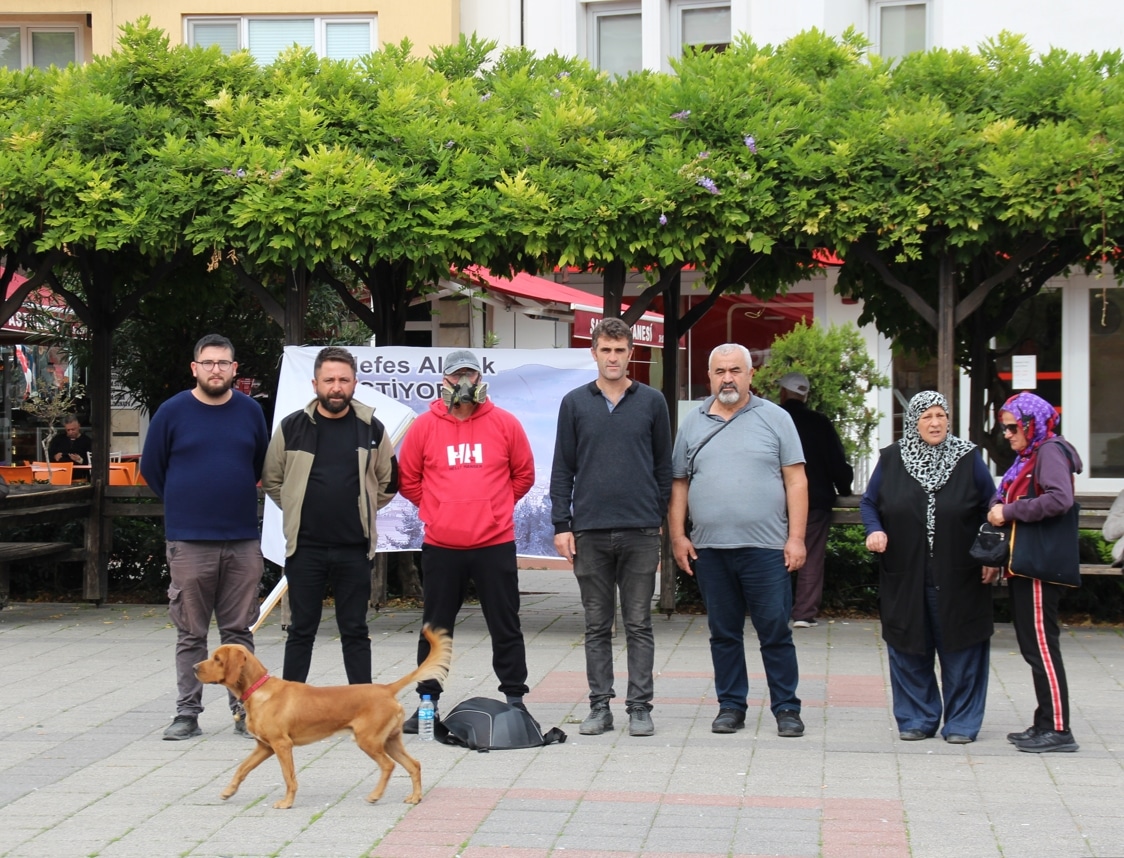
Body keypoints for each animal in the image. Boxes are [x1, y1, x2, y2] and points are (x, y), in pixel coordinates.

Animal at [195, 629, 449, 809]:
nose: (194, 667)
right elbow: (242, 769)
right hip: (390, 740)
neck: (258, 690)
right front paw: (228, 791)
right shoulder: (264, 746)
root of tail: (386, 689)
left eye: (217, 659)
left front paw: (287, 803)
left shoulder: (281, 745)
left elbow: (289, 777)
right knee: (414, 765)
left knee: (388, 765)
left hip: (368, 740)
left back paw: (375, 796)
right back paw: (415, 797)